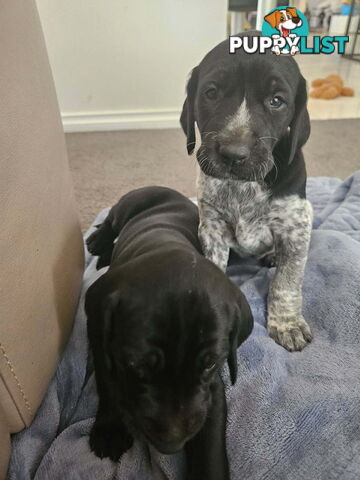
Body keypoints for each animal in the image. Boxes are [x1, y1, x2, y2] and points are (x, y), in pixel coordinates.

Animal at [84, 186, 253, 478]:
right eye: (137, 367)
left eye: (210, 364)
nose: (172, 444)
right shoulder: (100, 344)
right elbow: (108, 386)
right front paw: (109, 430)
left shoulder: (211, 393)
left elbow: (209, 447)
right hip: (128, 206)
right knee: (110, 220)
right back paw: (97, 241)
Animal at [181, 31, 314, 350]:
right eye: (211, 93)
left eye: (276, 101)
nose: (233, 154)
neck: (244, 186)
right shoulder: (212, 227)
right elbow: (213, 267)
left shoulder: (296, 226)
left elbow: (286, 282)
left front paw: (287, 323)